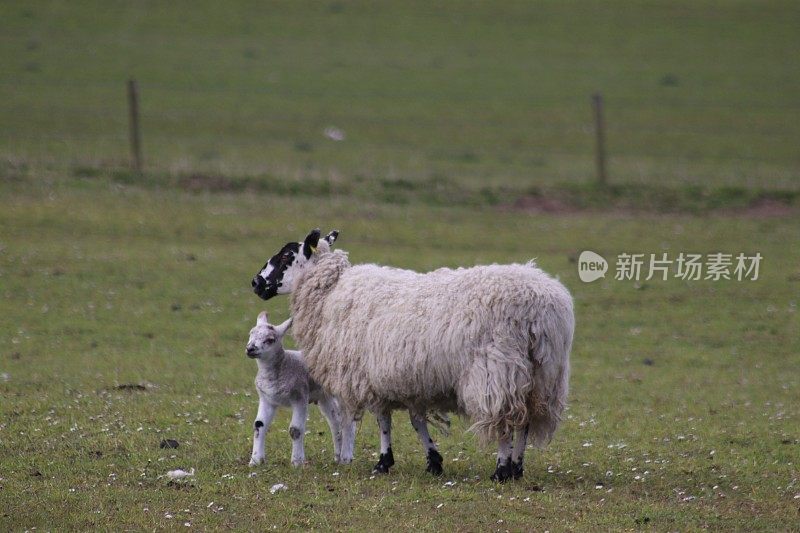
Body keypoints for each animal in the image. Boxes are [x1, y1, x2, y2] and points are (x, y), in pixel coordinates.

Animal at [247, 312, 354, 466]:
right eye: (250, 334)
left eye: (270, 339)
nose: (250, 349)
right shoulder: (267, 398)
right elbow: (258, 426)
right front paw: (255, 461)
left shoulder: (299, 395)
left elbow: (295, 430)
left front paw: (297, 461)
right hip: (324, 396)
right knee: (335, 421)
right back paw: (337, 456)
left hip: (342, 390)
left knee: (348, 421)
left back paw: (346, 457)